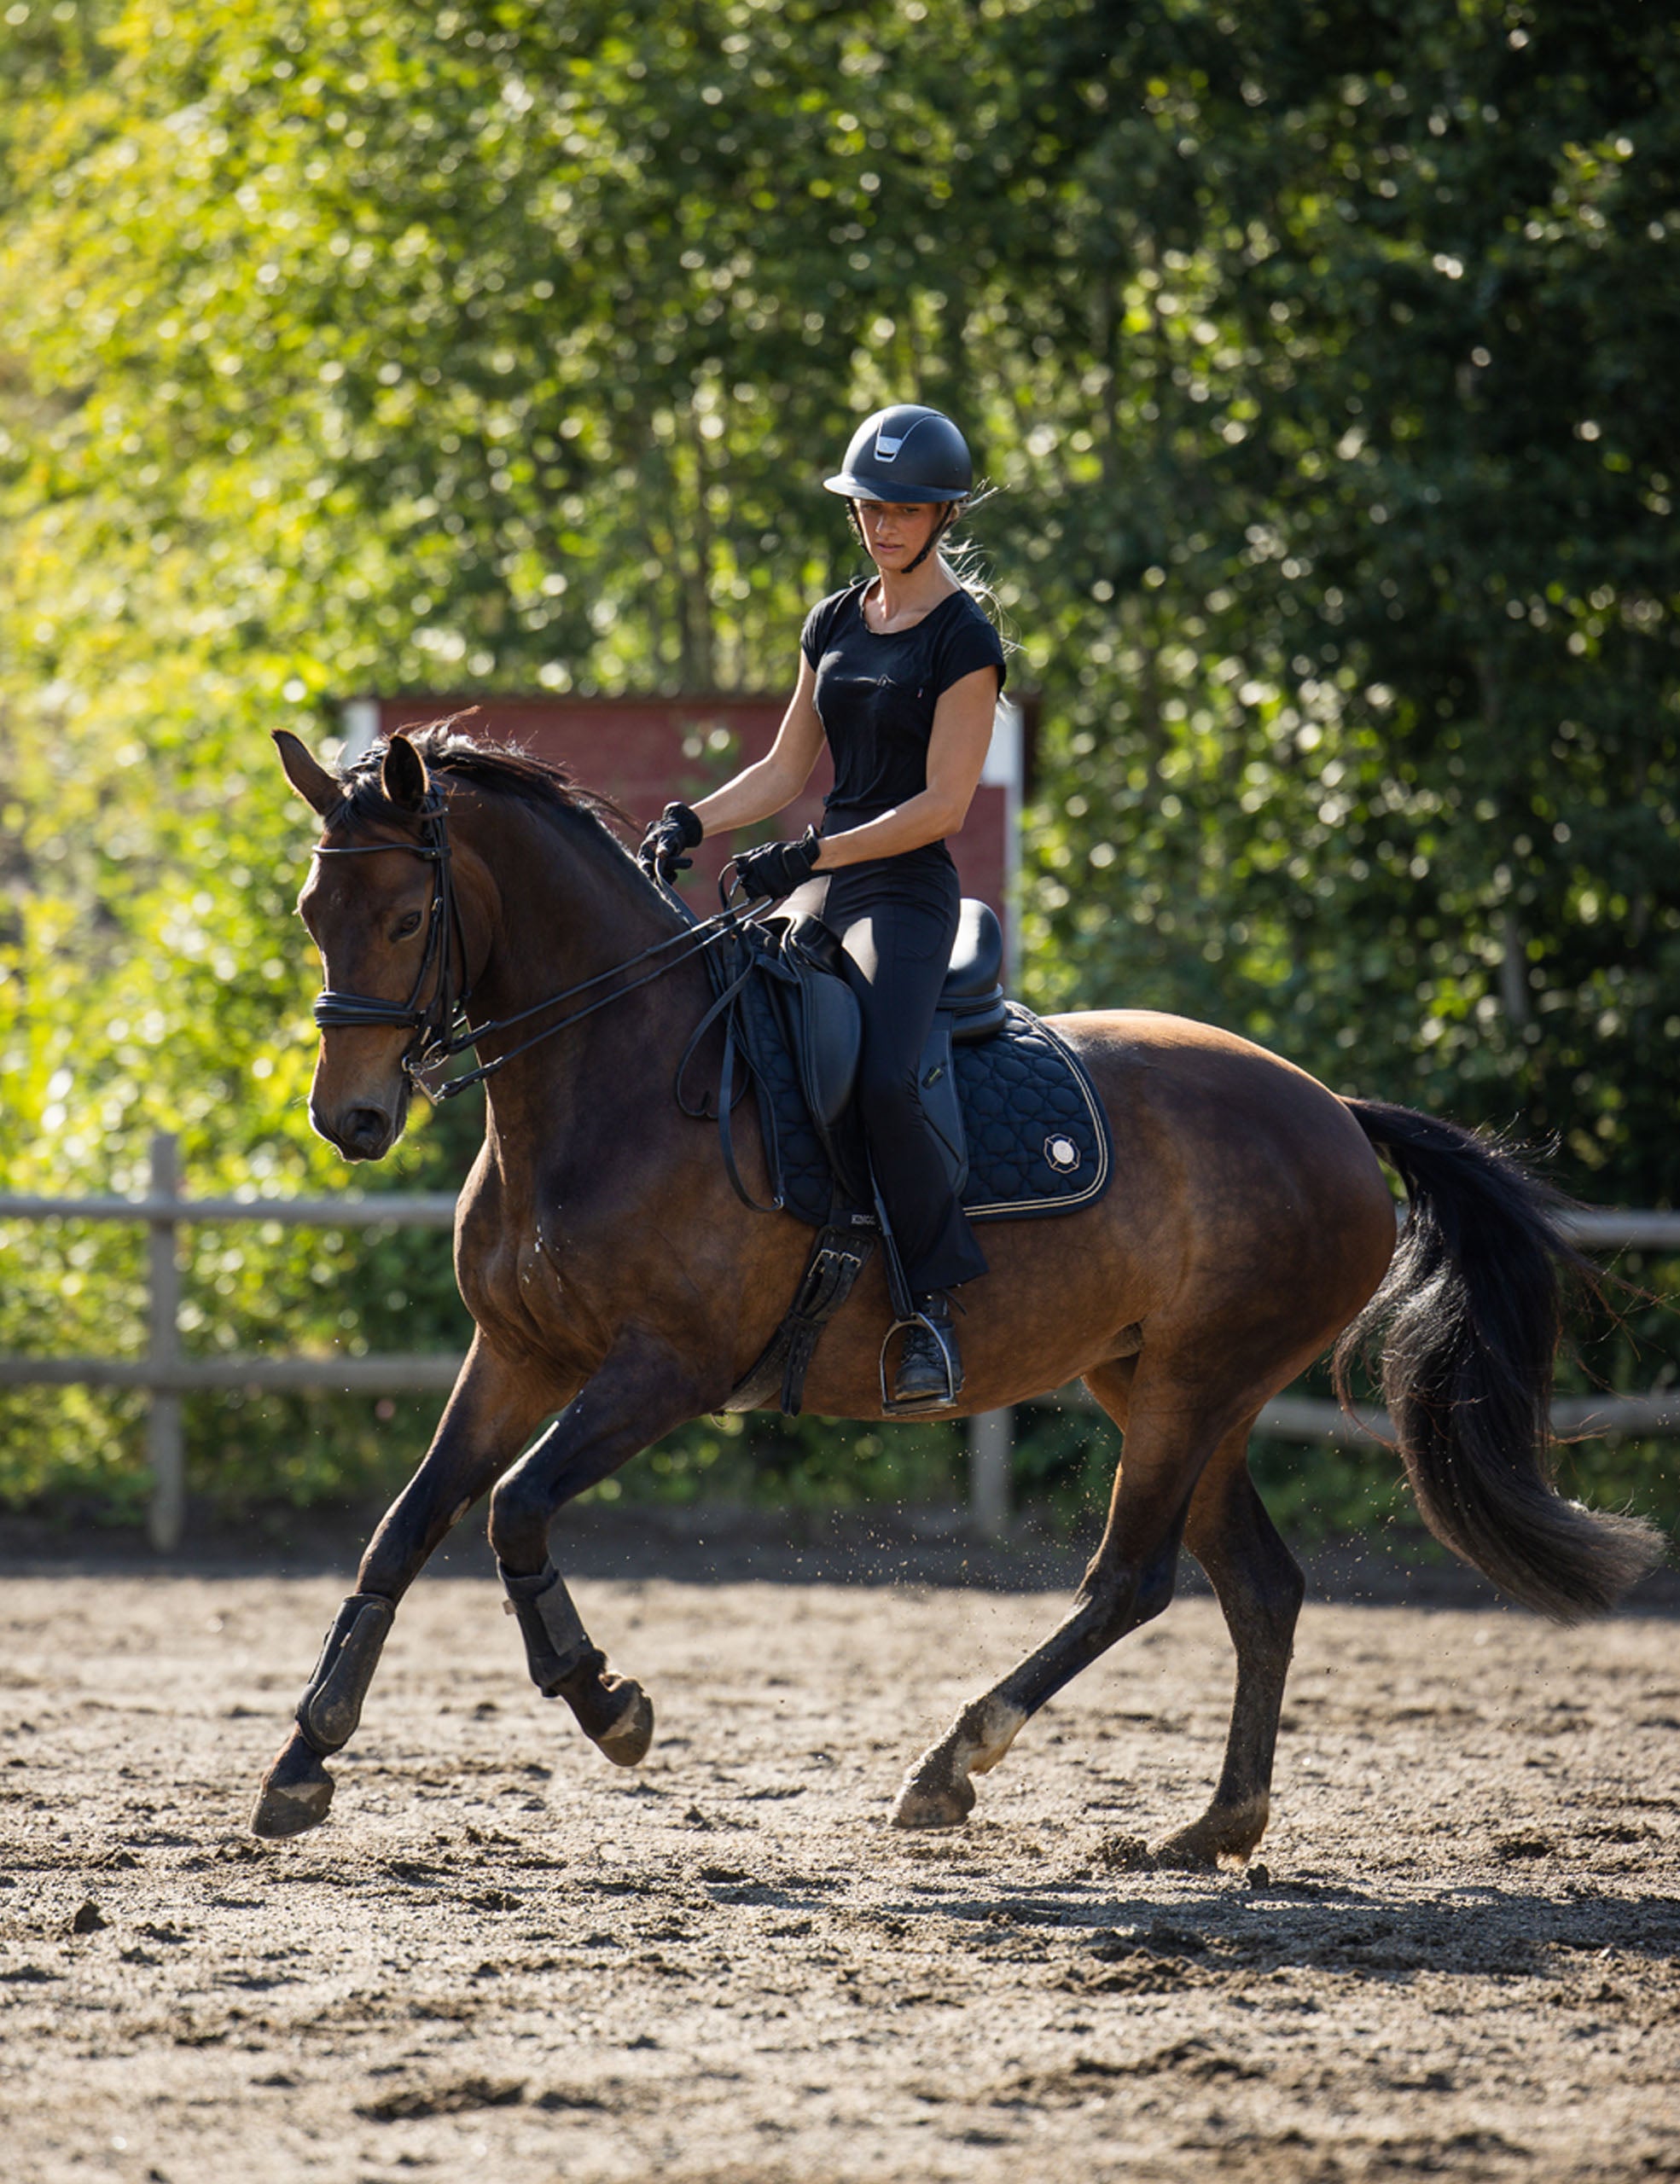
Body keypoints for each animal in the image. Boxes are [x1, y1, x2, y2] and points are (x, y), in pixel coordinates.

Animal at [252, 729, 1660, 1861]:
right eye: (314, 909)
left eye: (402, 918)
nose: (349, 1120)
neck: (614, 1075)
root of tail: (1330, 1109)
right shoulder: (518, 1354)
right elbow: (408, 1525)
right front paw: (306, 1753)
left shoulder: (666, 1369)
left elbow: (517, 1512)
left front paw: (608, 1704)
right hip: (1159, 1379)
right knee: (1258, 1588)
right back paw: (1211, 1826)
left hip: (1198, 1382)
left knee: (1130, 1579)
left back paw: (951, 1763)